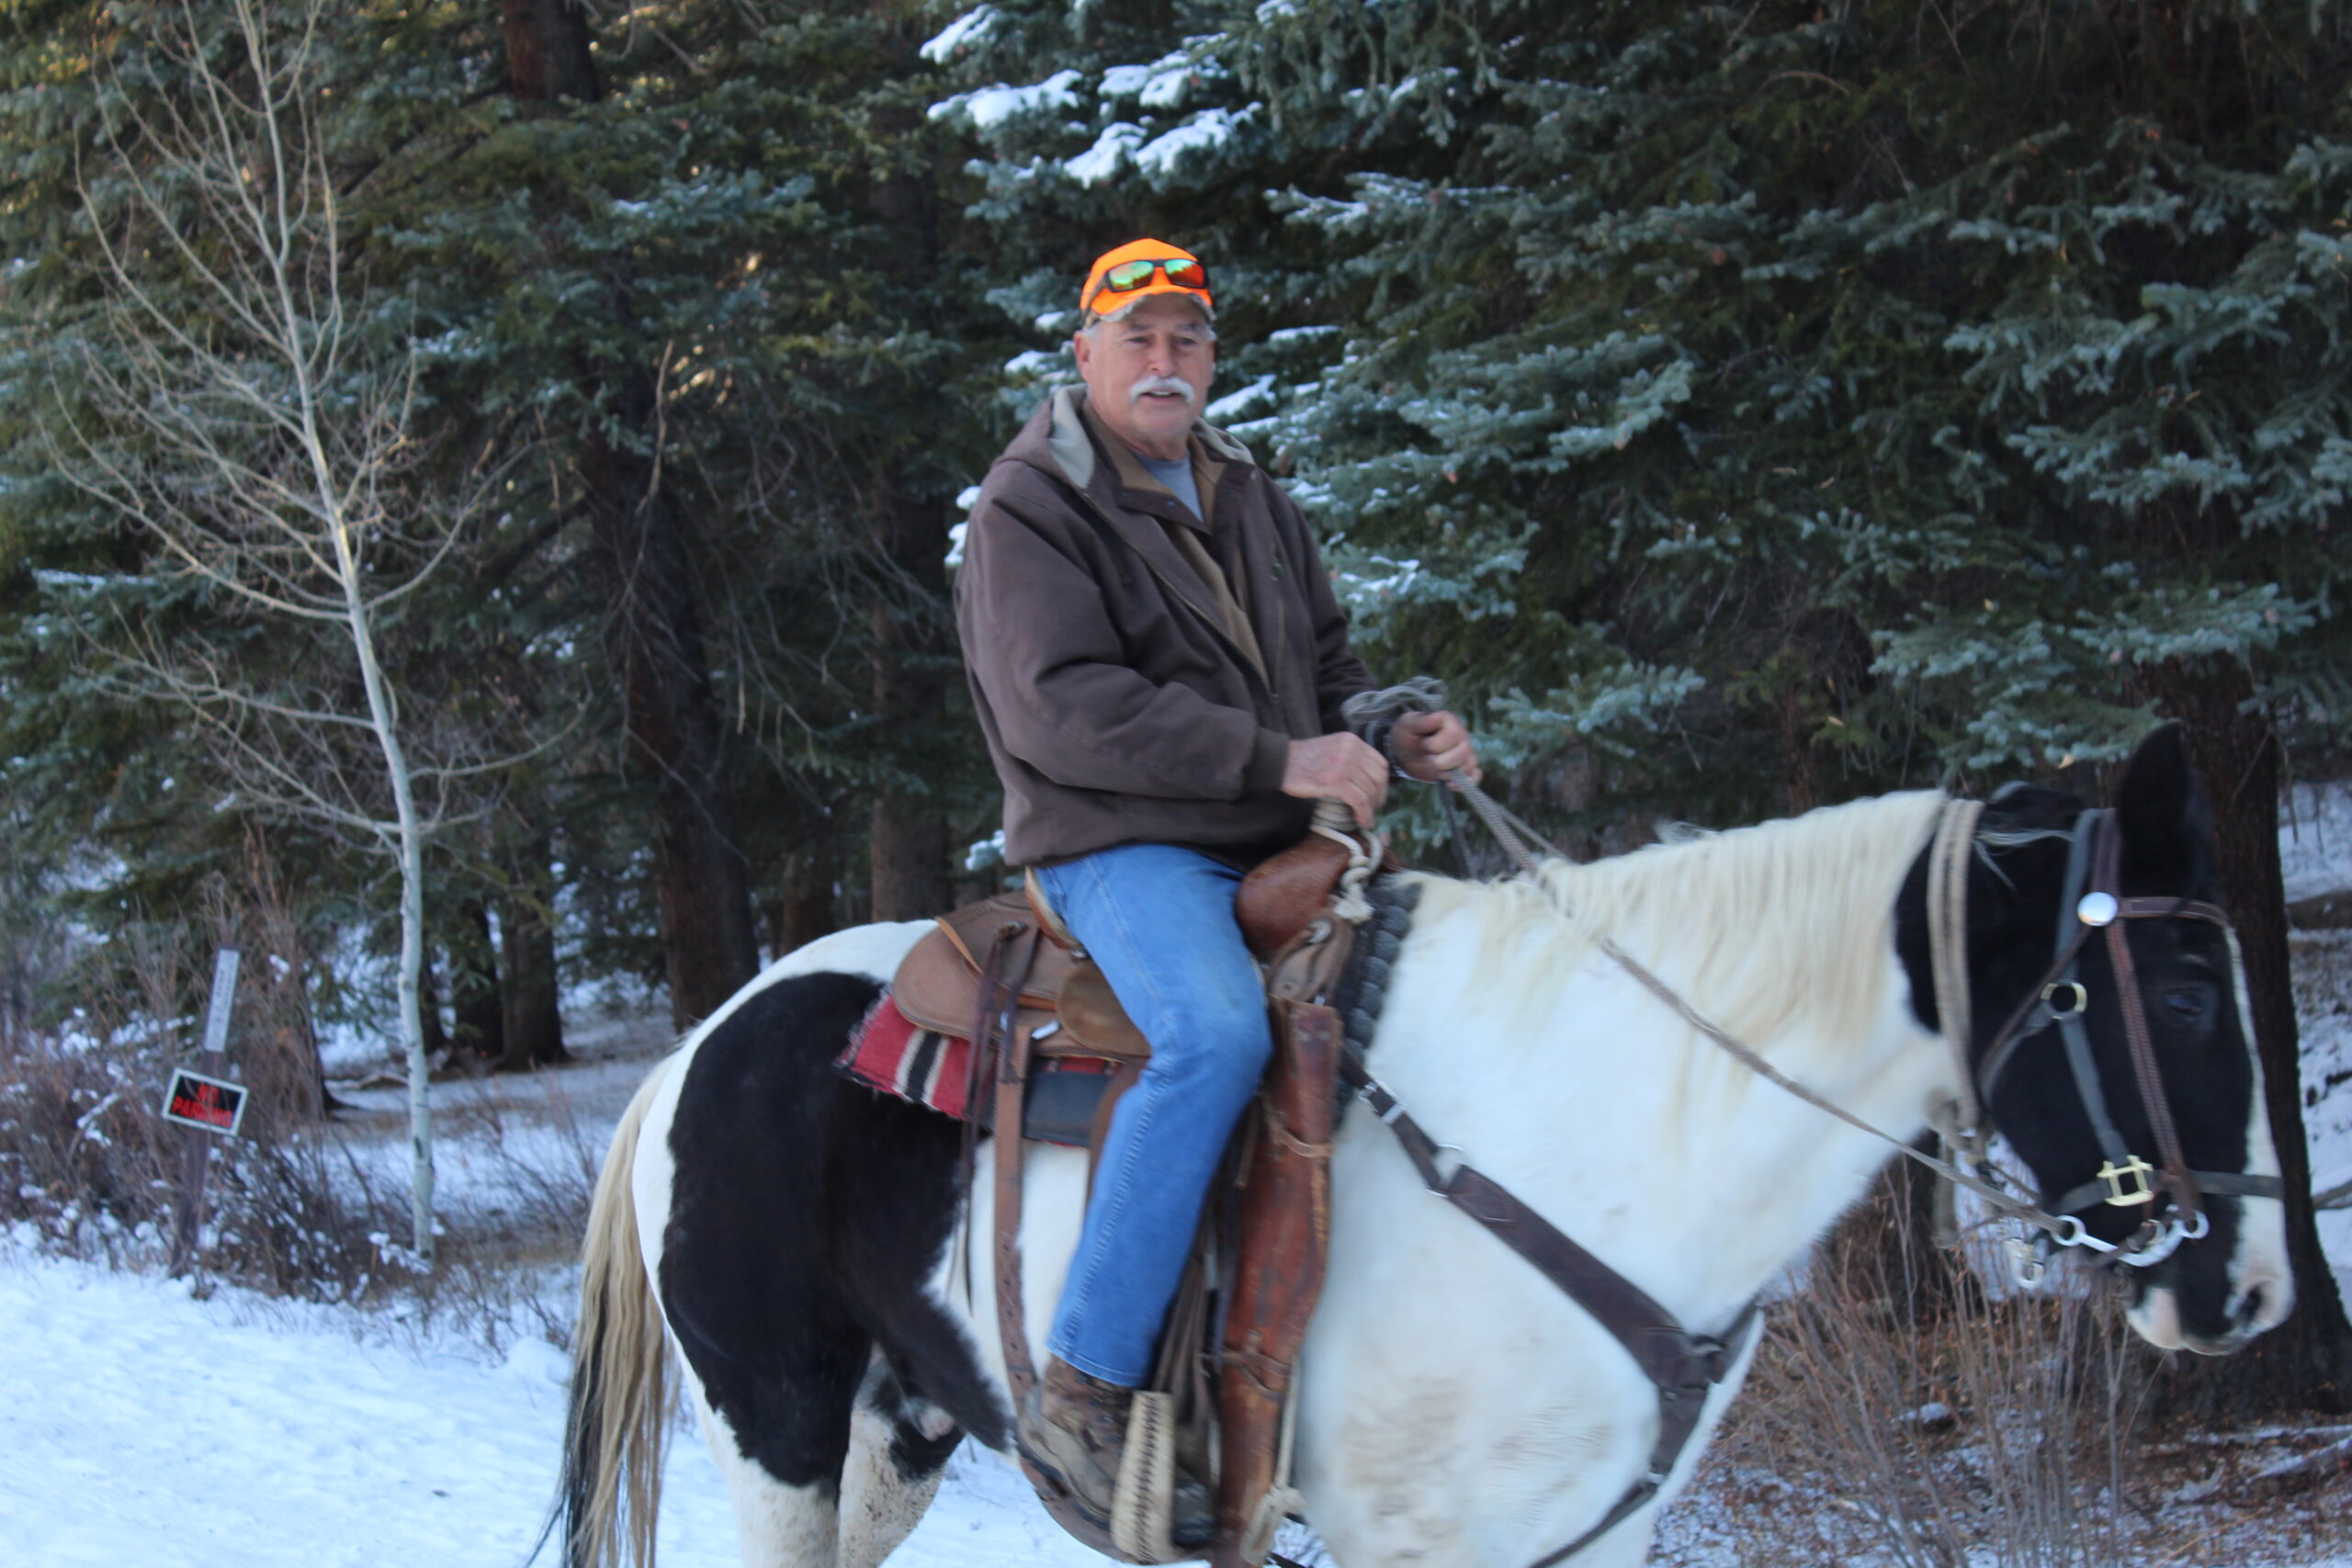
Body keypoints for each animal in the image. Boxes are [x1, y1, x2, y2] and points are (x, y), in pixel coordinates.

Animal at [545, 728, 2277, 1568]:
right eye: (2187, 988)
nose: (2250, 1287)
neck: (1591, 1124)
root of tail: (700, 1043)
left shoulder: (1597, 1535)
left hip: (899, 1426)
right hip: (772, 1421)